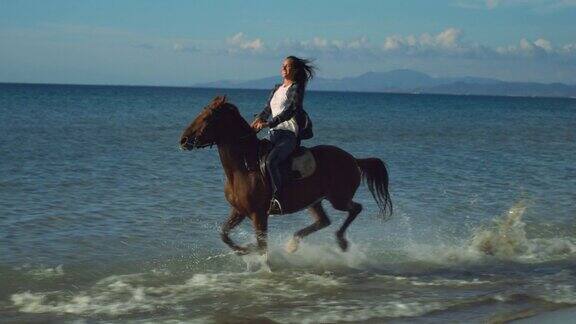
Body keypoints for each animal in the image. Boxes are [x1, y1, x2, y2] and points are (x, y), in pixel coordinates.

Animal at [180, 95, 392, 256]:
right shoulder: (239, 211)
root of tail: (353, 159)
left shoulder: (259, 214)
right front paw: (243, 250)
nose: (183, 140)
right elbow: (224, 234)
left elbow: (262, 246)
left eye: (207, 118)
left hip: (338, 198)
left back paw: (341, 242)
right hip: (314, 201)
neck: (243, 168)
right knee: (324, 220)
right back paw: (293, 244)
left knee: (355, 209)